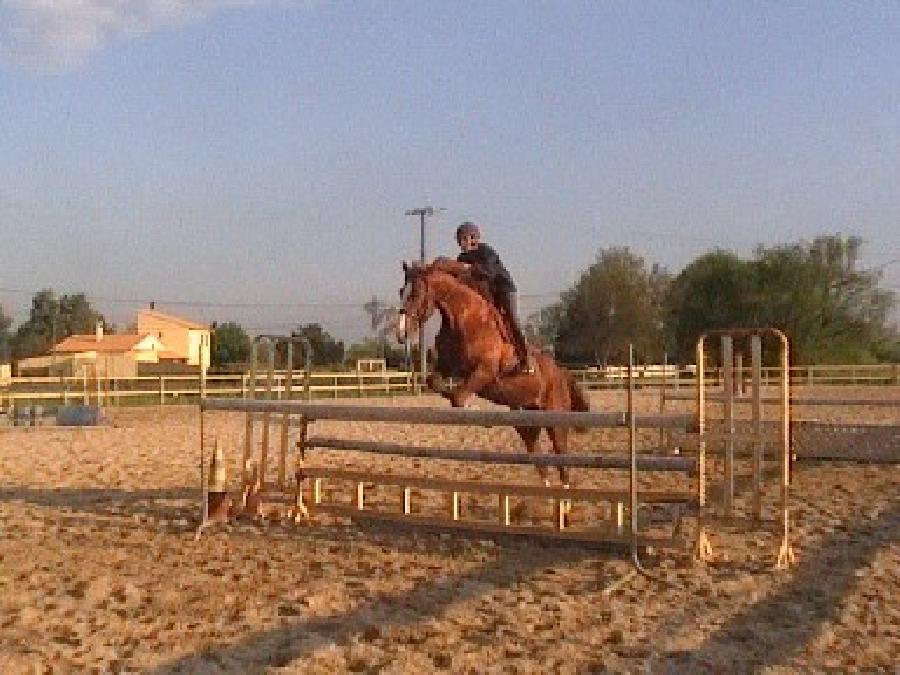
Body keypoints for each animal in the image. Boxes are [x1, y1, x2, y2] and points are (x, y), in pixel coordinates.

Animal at [394, 258, 592, 486]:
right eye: (401, 291)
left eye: (416, 293)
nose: (401, 333)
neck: (463, 318)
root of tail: (561, 371)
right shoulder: (447, 368)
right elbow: (436, 384)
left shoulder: (485, 371)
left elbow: (458, 397)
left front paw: (476, 411)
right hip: (526, 419)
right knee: (539, 458)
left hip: (555, 417)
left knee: (562, 459)